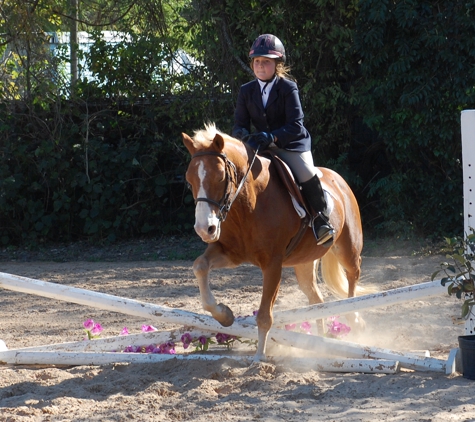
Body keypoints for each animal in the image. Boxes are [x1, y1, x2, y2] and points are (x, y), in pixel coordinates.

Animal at [182, 123, 364, 362]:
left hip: (347, 248)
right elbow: (200, 266)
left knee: (353, 275)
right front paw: (225, 316)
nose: (205, 229)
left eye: (220, 177)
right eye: (189, 180)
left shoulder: (272, 264)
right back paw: (319, 343)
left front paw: (259, 358)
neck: (247, 205)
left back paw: (353, 317)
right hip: (304, 263)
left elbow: (264, 316)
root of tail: (338, 179)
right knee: (317, 300)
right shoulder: (231, 253)